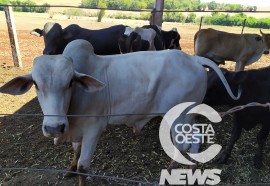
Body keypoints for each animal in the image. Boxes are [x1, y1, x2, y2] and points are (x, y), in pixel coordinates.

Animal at [0, 39, 240, 186]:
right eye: (36, 84)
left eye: (69, 83)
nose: (53, 127)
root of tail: (192, 59)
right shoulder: (76, 130)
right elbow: (75, 153)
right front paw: (69, 170)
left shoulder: (94, 128)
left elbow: (84, 165)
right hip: (186, 116)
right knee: (195, 138)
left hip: (177, 117)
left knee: (183, 143)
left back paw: (169, 172)